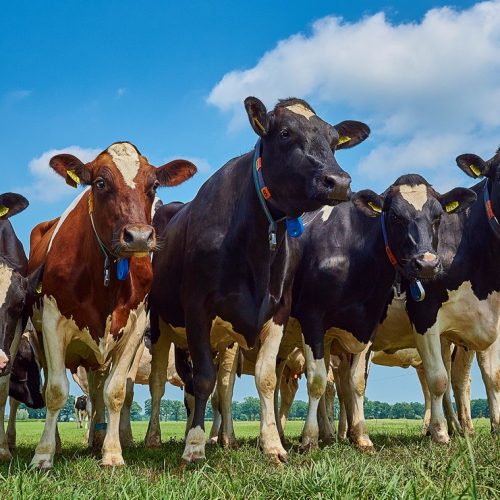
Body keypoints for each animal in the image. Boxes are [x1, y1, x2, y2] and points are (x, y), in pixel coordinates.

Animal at [26, 142, 195, 468]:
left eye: (153, 185)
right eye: (100, 183)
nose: (139, 237)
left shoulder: (135, 327)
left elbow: (115, 392)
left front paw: (113, 453)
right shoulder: (52, 322)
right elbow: (55, 391)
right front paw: (43, 455)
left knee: (98, 392)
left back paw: (99, 439)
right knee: (56, 386)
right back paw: (64, 443)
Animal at [146, 95, 370, 462]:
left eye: (335, 140)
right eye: (285, 133)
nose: (338, 181)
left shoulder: (278, 310)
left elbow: (265, 379)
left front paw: (273, 444)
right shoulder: (196, 307)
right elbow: (203, 379)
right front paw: (194, 445)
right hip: (161, 323)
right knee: (160, 384)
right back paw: (155, 436)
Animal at [284, 175, 474, 450]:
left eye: (438, 216)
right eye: (394, 215)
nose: (426, 263)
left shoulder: (368, 324)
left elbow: (356, 382)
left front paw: (361, 437)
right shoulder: (312, 319)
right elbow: (317, 381)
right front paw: (309, 439)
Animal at [374, 147, 500, 442]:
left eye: (438, 216)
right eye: (394, 217)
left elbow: (492, 377)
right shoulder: (424, 316)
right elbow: (438, 379)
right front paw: (441, 434)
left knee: (459, 379)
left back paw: (460, 427)